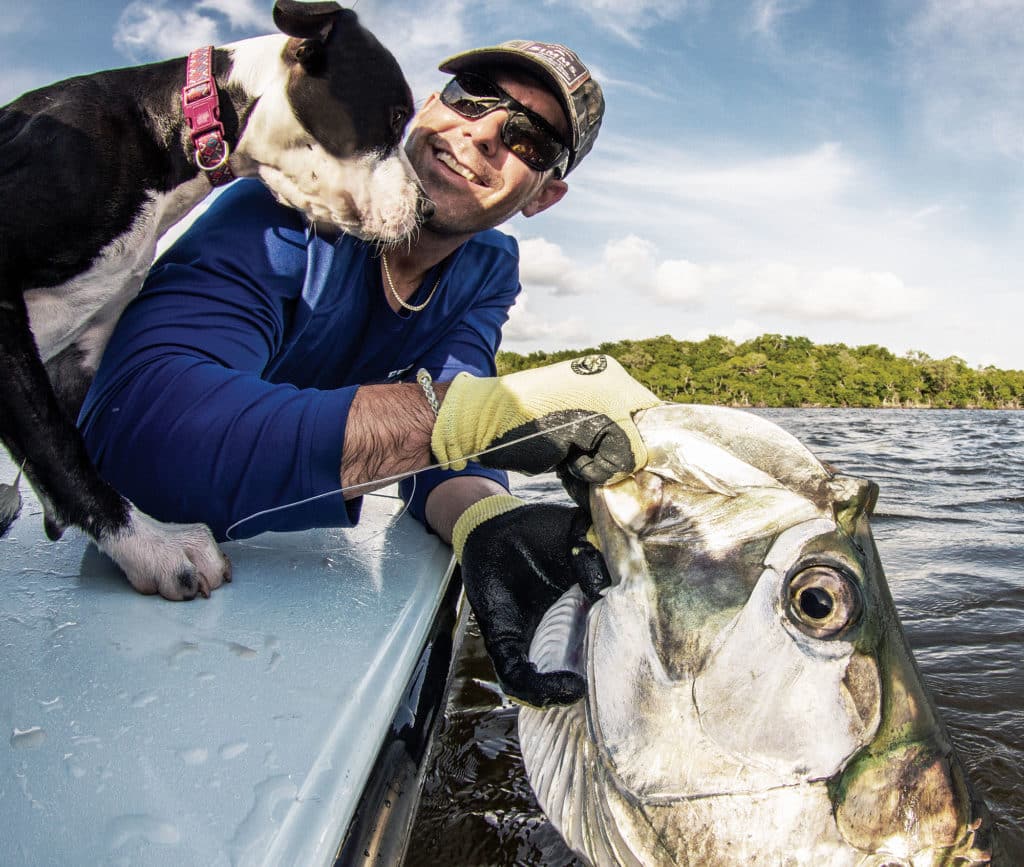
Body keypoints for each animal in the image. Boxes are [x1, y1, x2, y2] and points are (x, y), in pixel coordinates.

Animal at [0, 0, 430, 601]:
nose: (428, 210)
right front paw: (154, 545)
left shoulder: (81, 354)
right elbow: (56, 445)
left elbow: (76, 442)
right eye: (393, 118)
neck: (179, 129)